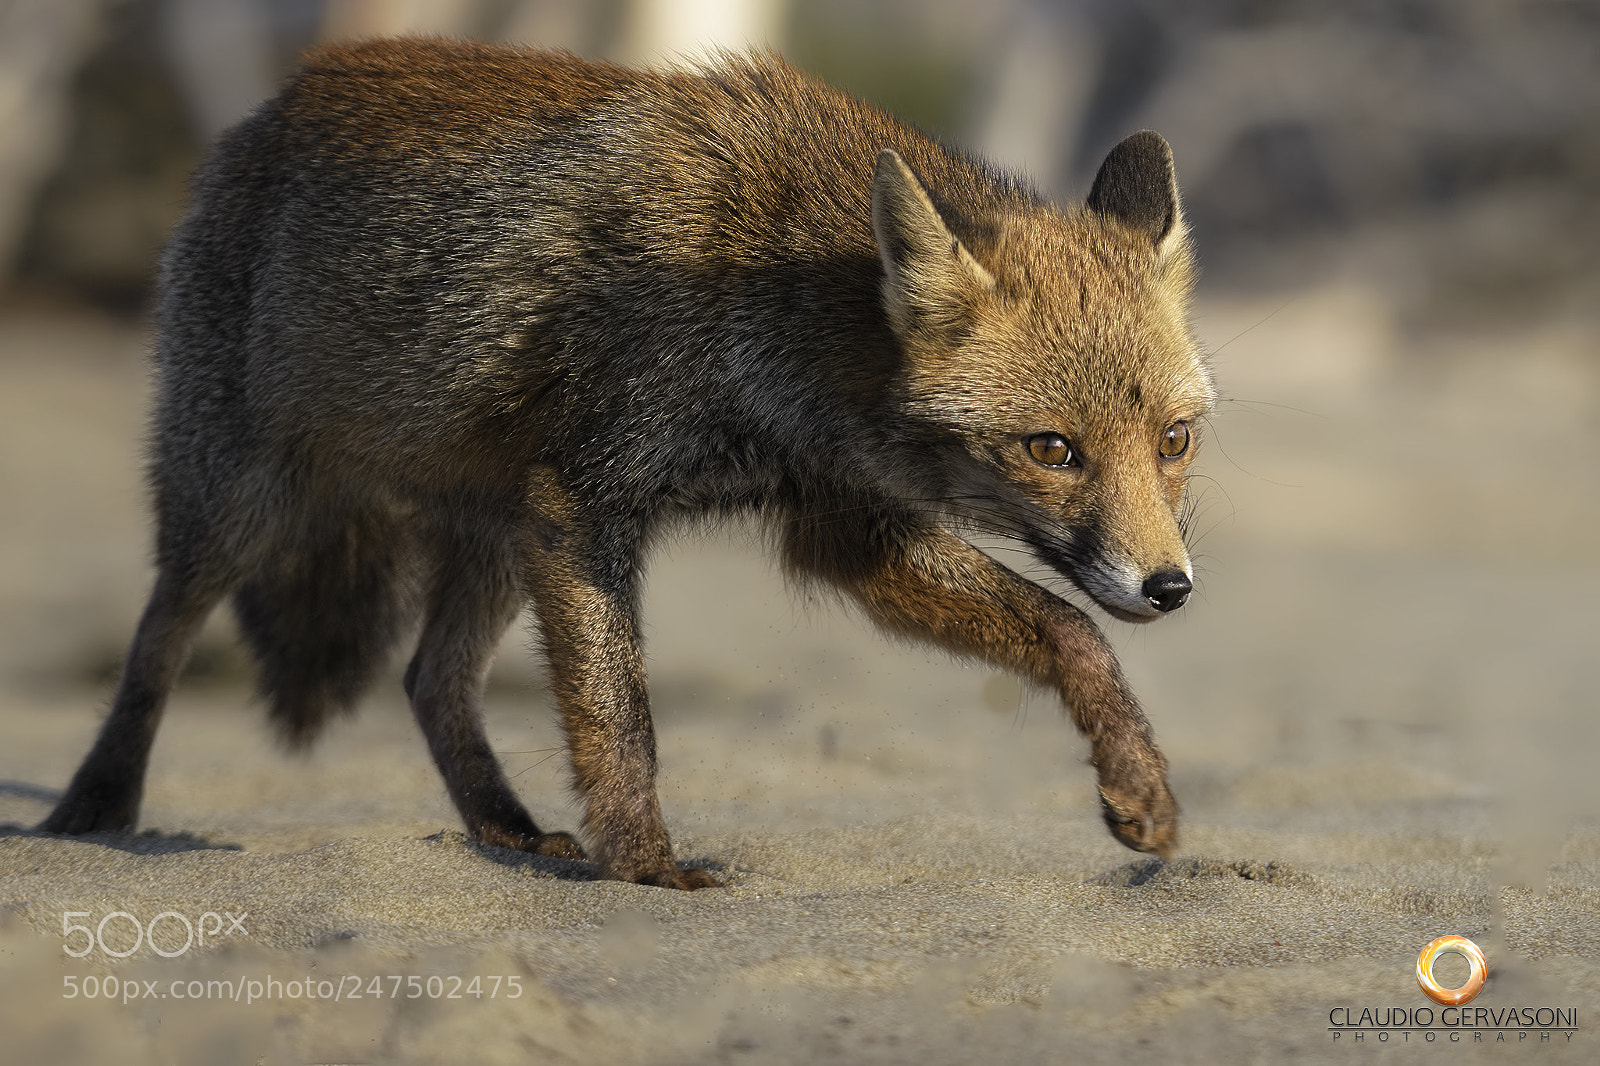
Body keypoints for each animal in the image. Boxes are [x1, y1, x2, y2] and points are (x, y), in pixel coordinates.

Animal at [42, 38, 1215, 889]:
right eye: (1050, 448)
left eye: (1174, 440)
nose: (1170, 587)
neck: (774, 316)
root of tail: (285, 93)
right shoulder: (587, 499)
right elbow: (623, 717)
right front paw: (647, 866)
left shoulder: (842, 528)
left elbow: (1070, 633)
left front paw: (1139, 785)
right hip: (244, 505)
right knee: (159, 641)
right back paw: (92, 811)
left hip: (496, 536)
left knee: (429, 679)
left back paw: (506, 833)